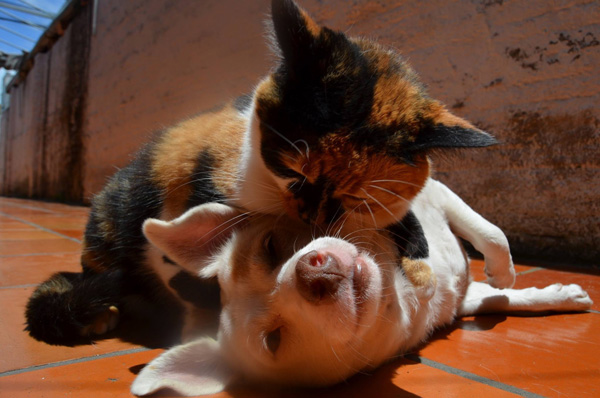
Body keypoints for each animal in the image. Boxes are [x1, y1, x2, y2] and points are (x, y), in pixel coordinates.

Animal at [25, 0, 496, 346]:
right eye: (293, 173)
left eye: (353, 198)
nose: (312, 217)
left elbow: (402, 216)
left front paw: (420, 265)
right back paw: (104, 314)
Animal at [130, 180, 592, 394]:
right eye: (274, 339)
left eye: (271, 247)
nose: (312, 274)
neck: (403, 293)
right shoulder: (457, 301)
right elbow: (493, 300)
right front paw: (544, 291)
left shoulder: (435, 197)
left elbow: (491, 240)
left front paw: (523, 280)